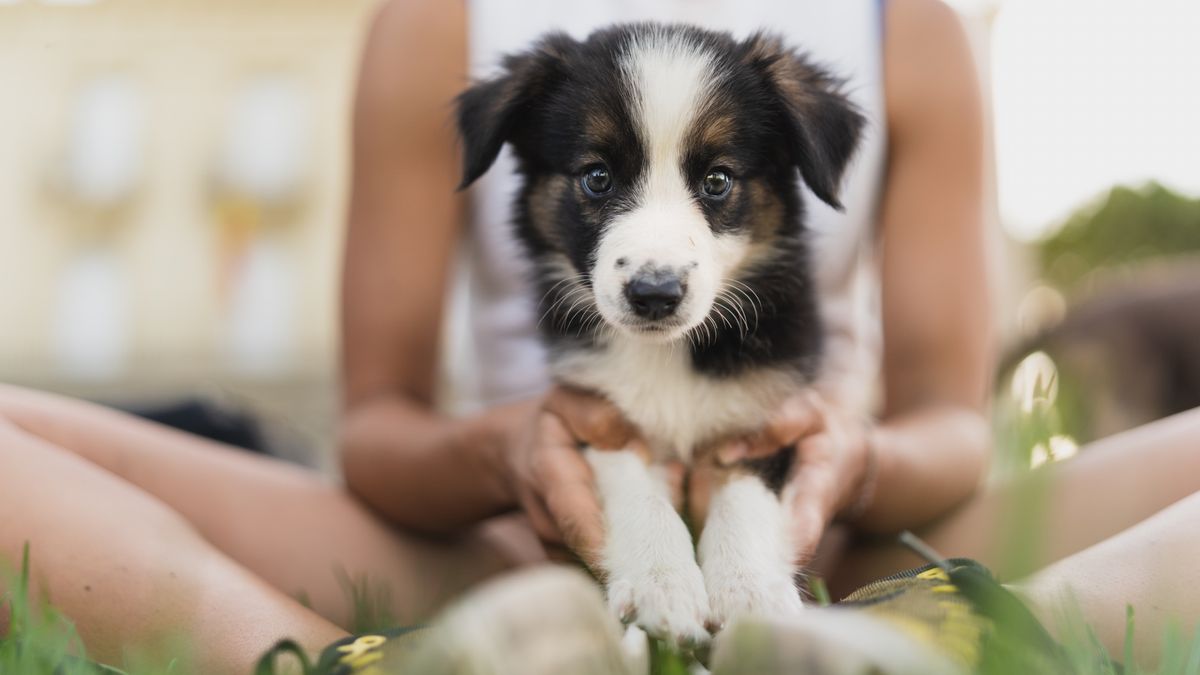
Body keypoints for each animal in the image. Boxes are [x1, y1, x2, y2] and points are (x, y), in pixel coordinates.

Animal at [456, 22, 864, 638]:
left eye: (717, 180)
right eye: (597, 177)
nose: (654, 294)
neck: (667, 354)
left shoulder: (764, 416)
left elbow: (743, 498)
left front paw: (750, 591)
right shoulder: (597, 414)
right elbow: (637, 491)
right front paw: (661, 585)